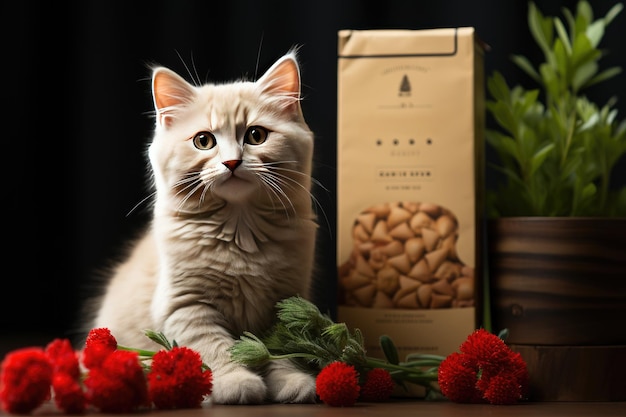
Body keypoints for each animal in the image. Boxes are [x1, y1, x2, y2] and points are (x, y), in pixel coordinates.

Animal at [83, 51, 316, 404]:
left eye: (256, 136)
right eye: (204, 141)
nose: (232, 162)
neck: (240, 230)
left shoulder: (286, 300)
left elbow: (282, 349)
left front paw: (292, 382)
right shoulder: (185, 305)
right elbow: (217, 348)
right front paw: (236, 383)